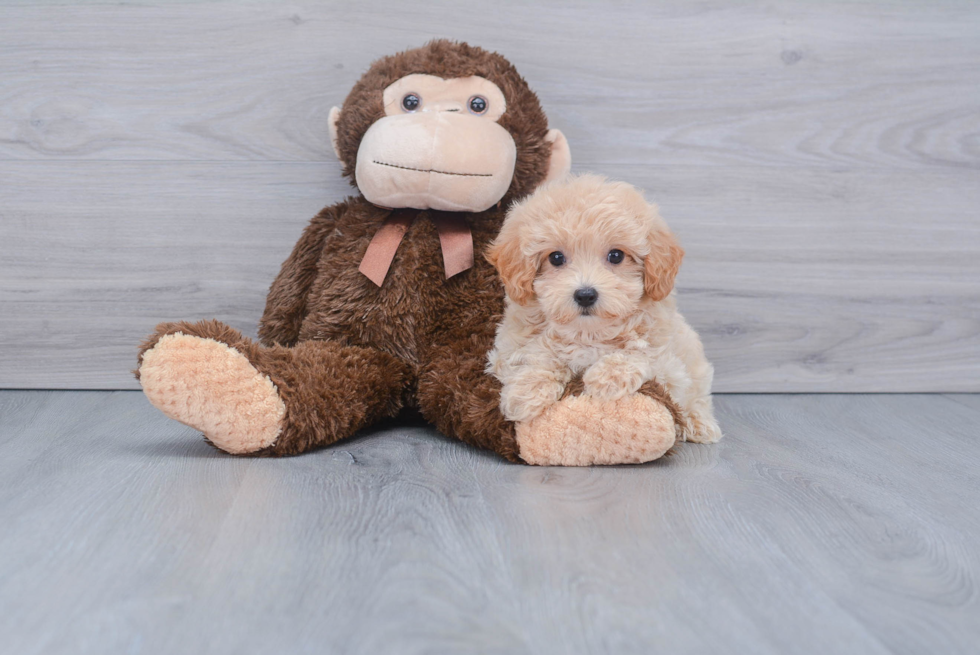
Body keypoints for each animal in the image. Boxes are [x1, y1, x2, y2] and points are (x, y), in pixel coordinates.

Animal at [488, 173, 724, 446]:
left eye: (616, 256)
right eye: (556, 258)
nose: (585, 295)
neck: (589, 332)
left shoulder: (670, 367)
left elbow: (642, 353)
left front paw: (606, 378)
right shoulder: (506, 350)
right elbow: (538, 354)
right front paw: (525, 392)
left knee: (698, 398)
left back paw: (699, 423)